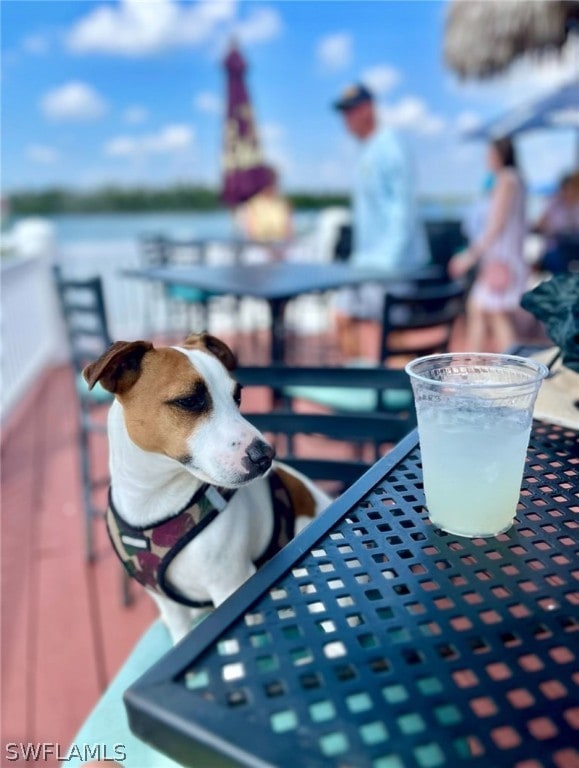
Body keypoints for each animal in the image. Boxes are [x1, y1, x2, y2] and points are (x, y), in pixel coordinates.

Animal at [84, 334, 334, 640]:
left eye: (237, 396)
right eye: (190, 401)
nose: (265, 455)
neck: (154, 500)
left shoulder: (230, 586)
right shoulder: (168, 604)